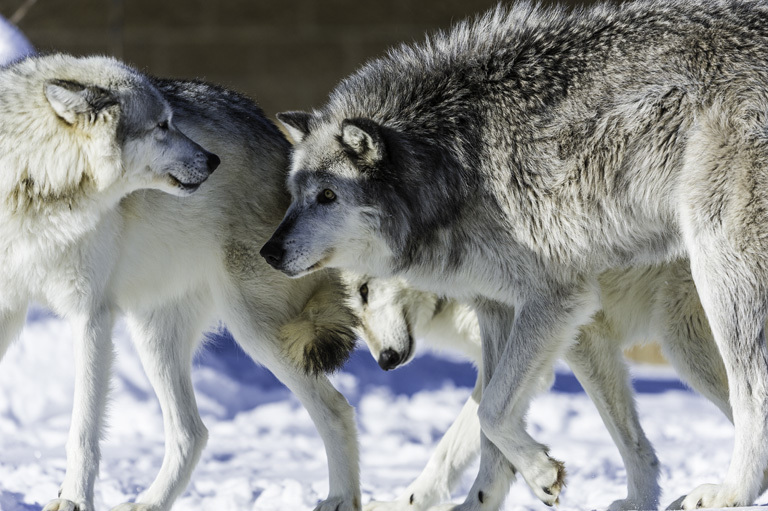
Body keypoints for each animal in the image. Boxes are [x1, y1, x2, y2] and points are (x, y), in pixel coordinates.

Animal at [0, 55, 360, 511]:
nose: (212, 161)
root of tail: (288, 150)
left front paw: (74, 501)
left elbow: (82, 431)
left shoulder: (90, 315)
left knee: (336, 409)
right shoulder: (9, 311)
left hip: (259, 332)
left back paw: (340, 499)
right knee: (193, 432)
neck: (33, 188)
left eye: (171, 121)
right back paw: (149, 503)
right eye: (161, 126)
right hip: (154, 335)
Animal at [344, 264, 736, 511]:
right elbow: (466, 450)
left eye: (364, 290)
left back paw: (718, 495)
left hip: (684, 342)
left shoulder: (572, 338)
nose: (385, 361)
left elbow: (482, 429)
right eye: (350, 313)